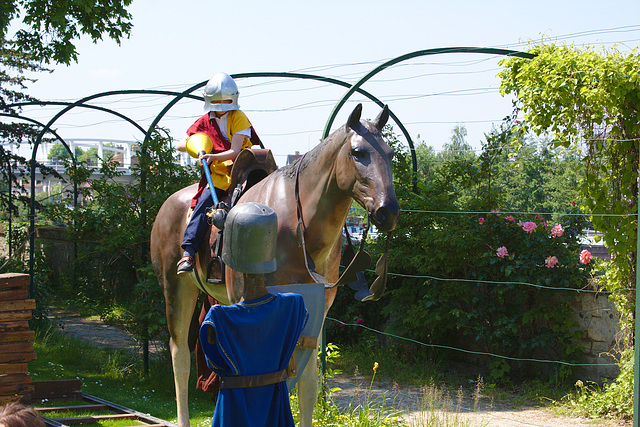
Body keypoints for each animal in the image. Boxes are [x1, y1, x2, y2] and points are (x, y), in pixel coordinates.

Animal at [151, 104, 400, 427]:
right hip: (175, 287)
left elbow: (307, 384)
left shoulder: (314, 312)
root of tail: (167, 204)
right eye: (357, 152)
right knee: (179, 354)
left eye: (391, 154)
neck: (299, 228)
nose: (388, 211)